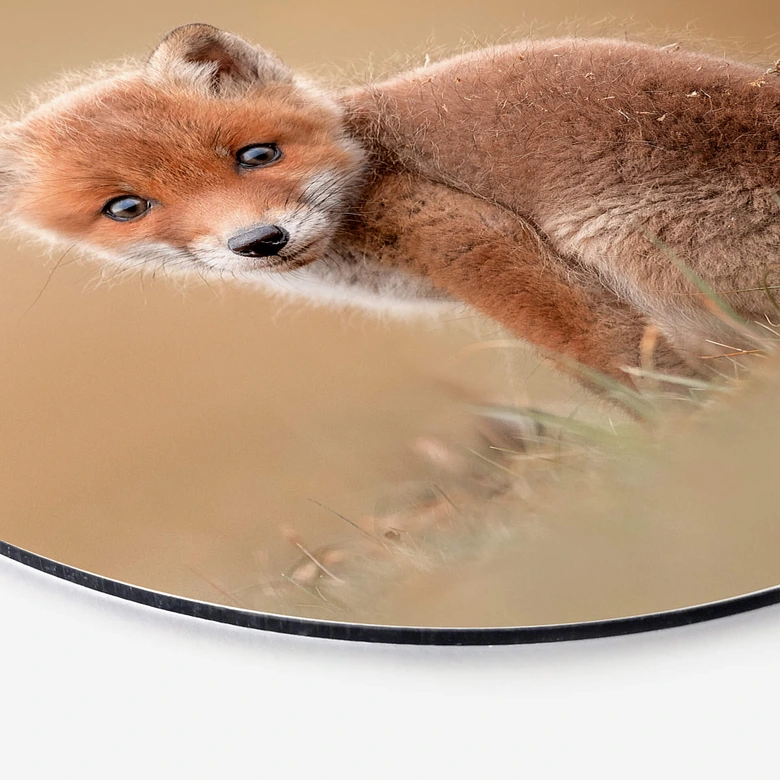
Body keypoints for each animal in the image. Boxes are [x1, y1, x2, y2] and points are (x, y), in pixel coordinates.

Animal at [1, 23, 779, 389]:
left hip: (626, 247)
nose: (260, 240)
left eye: (257, 155)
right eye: (125, 207)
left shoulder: (473, 237)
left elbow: (615, 366)